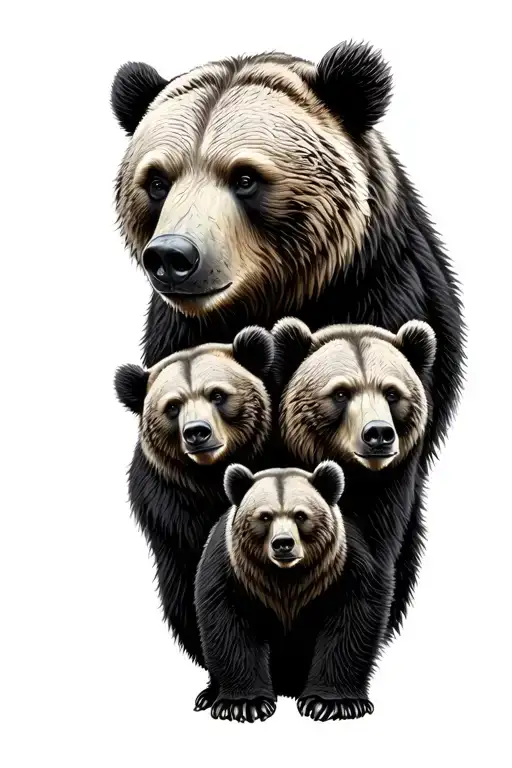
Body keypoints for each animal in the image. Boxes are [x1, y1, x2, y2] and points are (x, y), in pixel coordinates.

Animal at [195, 461, 389, 722]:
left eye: (301, 515)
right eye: (265, 516)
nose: (283, 543)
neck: (287, 577)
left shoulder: (343, 565)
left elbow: (351, 621)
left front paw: (331, 703)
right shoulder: (232, 570)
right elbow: (229, 624)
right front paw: (243, 704)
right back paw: (208, 696)